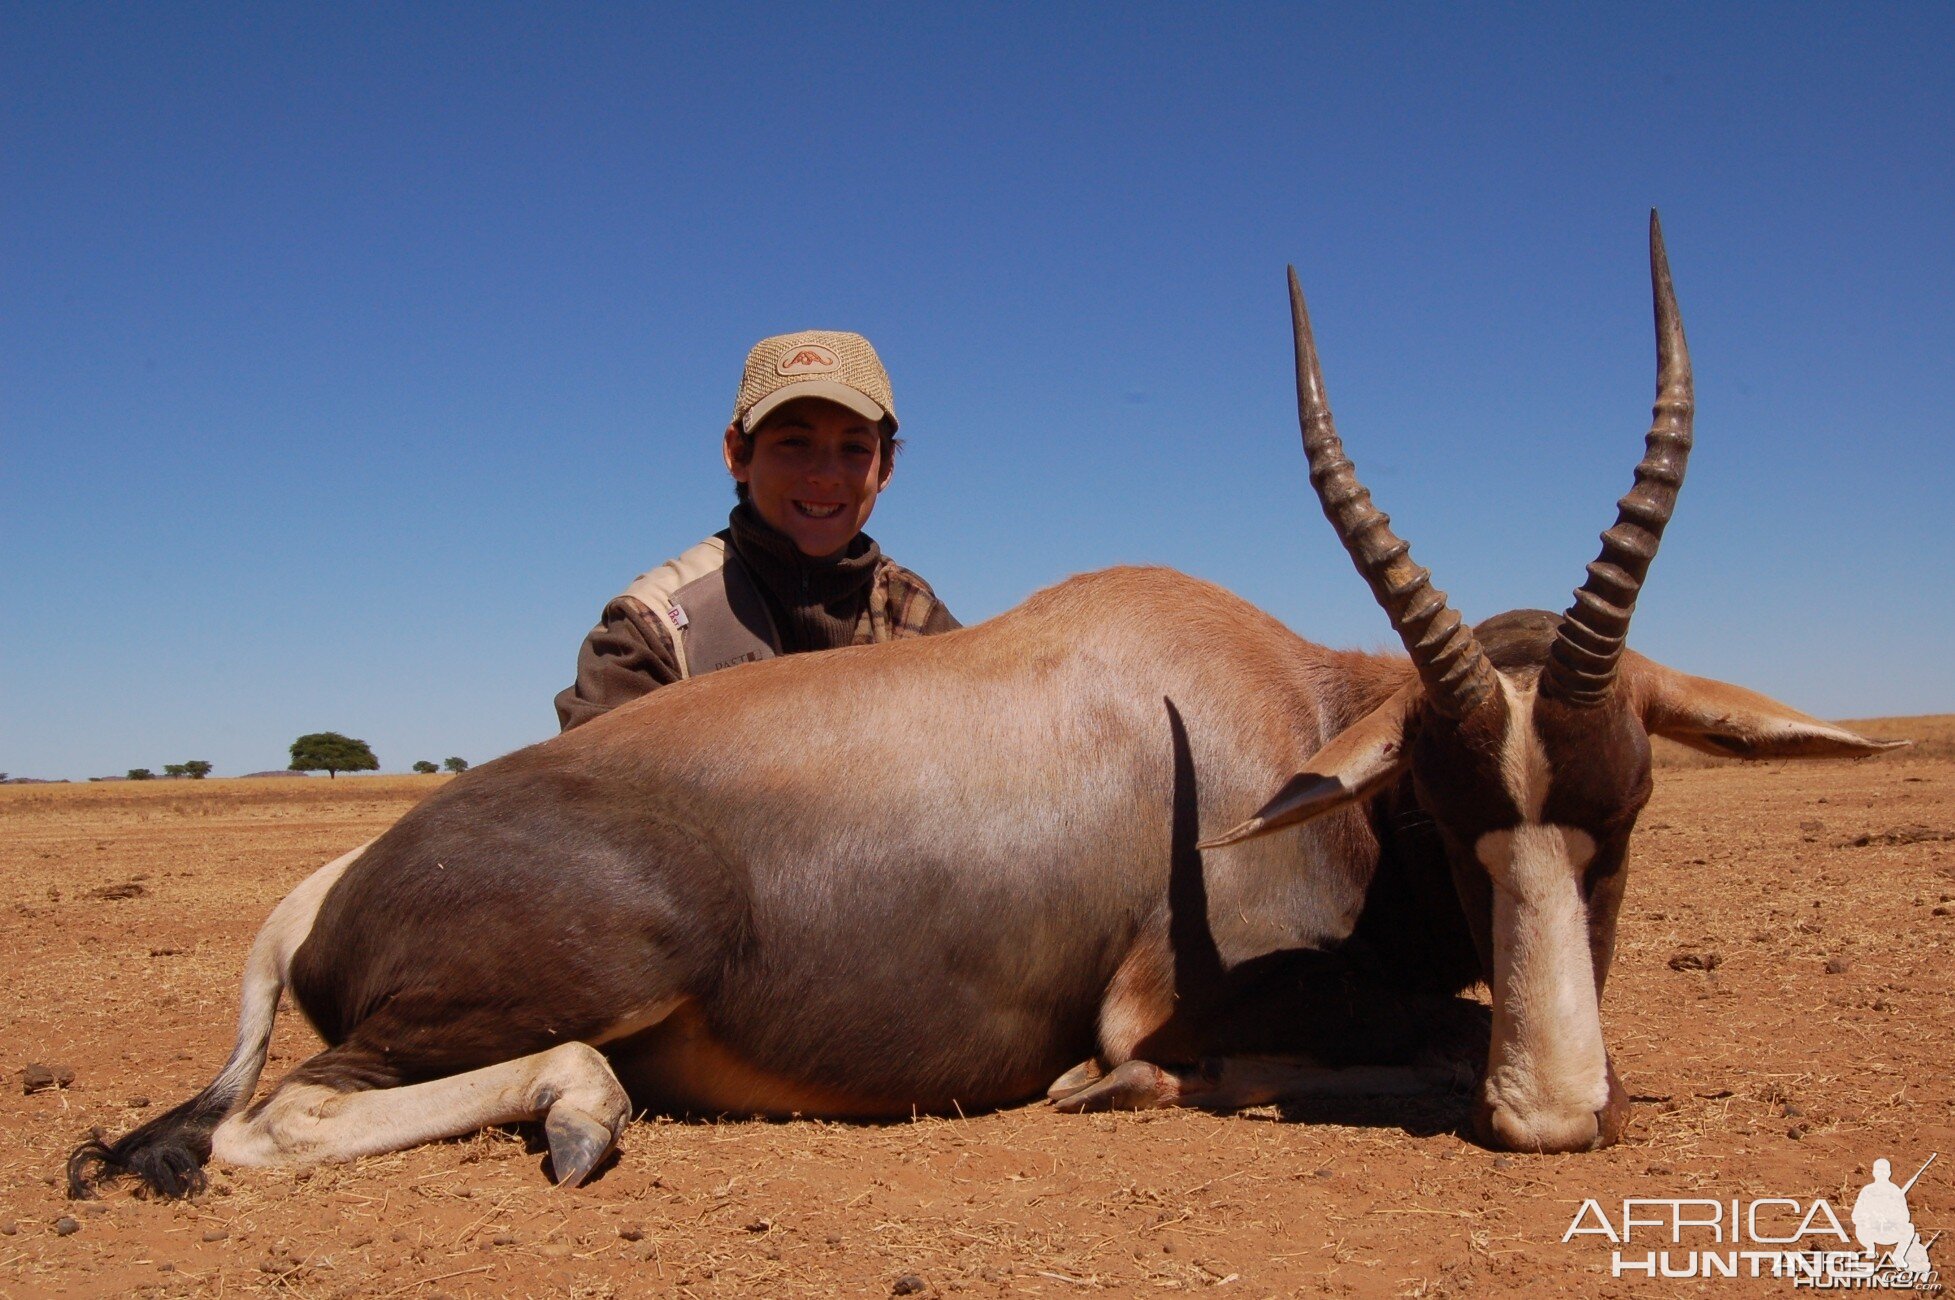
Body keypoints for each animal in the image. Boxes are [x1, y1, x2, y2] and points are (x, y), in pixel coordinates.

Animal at [68, 215, 1900, 1196]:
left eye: (1627, 810)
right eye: (1447, 817)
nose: (1559, 1118)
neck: (1262, 706)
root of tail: (341, 880)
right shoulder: (1167, 1006)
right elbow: (1328, 1051)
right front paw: (1119, 1095)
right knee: (278, 1122)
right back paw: (583, 1117)